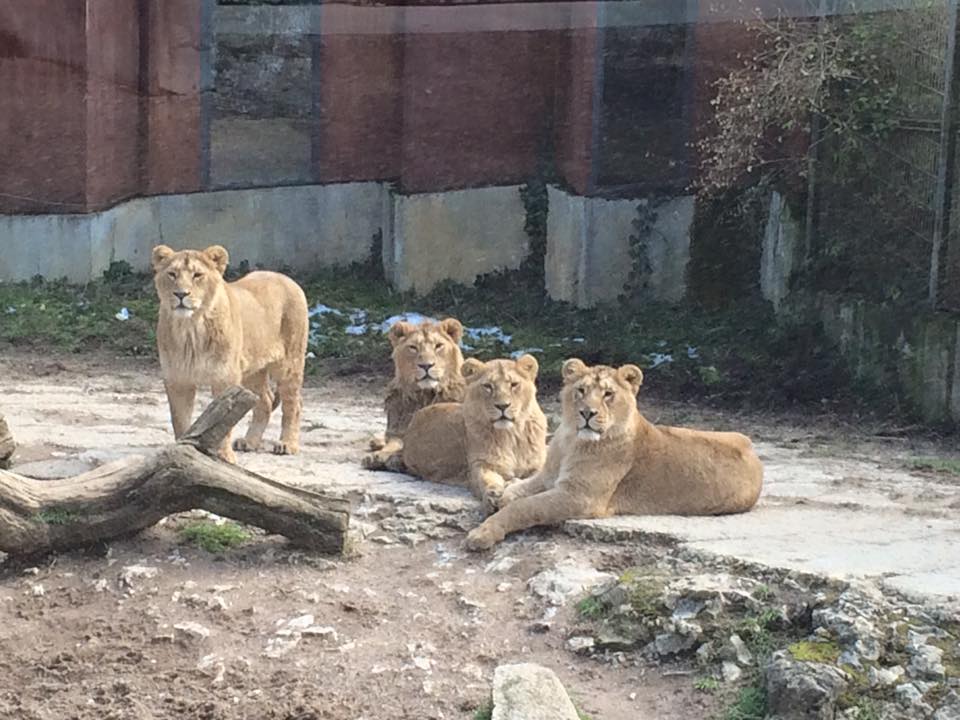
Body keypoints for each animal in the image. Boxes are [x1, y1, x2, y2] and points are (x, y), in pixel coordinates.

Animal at [152, 245, 309, 463]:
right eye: (172, 274)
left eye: (197, 275)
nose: (180, 294)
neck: (191, 329)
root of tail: (285, 278)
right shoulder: (177, 379)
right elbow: (180, 420)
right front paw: (182, 451)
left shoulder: (225, 377)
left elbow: (226, 423)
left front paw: (224, 457)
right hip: (253, 370)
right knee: (266, 400)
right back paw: (249, 442)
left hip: (288, 363)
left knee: (294, 403)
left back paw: (287, 444)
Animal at [361, 318, 466, 471]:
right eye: (413, 347)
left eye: (438, 346)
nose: (426, 365)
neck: (423, 396)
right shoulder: (399, 430)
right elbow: (395, 443)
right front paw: (377, 456)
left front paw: (395, 459)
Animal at [401, 354, 547, 512]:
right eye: (488, 386)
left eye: (514, 384)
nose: (502, 406)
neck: (510, 435)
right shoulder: (480, 464)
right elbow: (486, 480)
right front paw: (493, 495)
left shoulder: (539, 465)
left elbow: (534, 480)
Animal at [465, 358, 763, 550]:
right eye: (581, 390)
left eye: (608, 394)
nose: (587, 413)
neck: (572, 439)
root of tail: (752, 448)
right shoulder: (548, 477)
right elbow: (519, 490)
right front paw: (499, 496)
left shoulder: (580, 496)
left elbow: (525, 507)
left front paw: (483, 532)